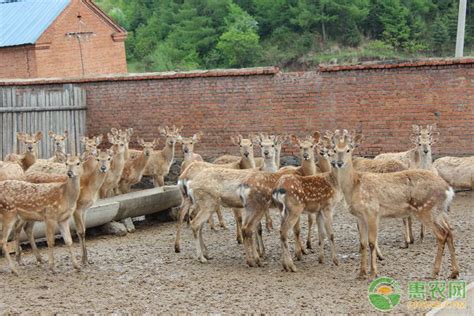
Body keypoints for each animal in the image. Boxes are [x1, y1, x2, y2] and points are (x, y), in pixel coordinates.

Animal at [328, 130, 458, 278]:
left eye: (348, 150)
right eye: (334, 150)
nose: (338, 162)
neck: (354, 186)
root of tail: (449, 190)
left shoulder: (373, 212)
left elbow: (372, 242)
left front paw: (373, 273)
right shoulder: (360, 216)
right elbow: (362, 244)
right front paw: (361, 273)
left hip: (426, 209)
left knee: (442, 235)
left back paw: (434, 272)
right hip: (438, 211)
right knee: (449, 232)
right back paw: (454, 272)